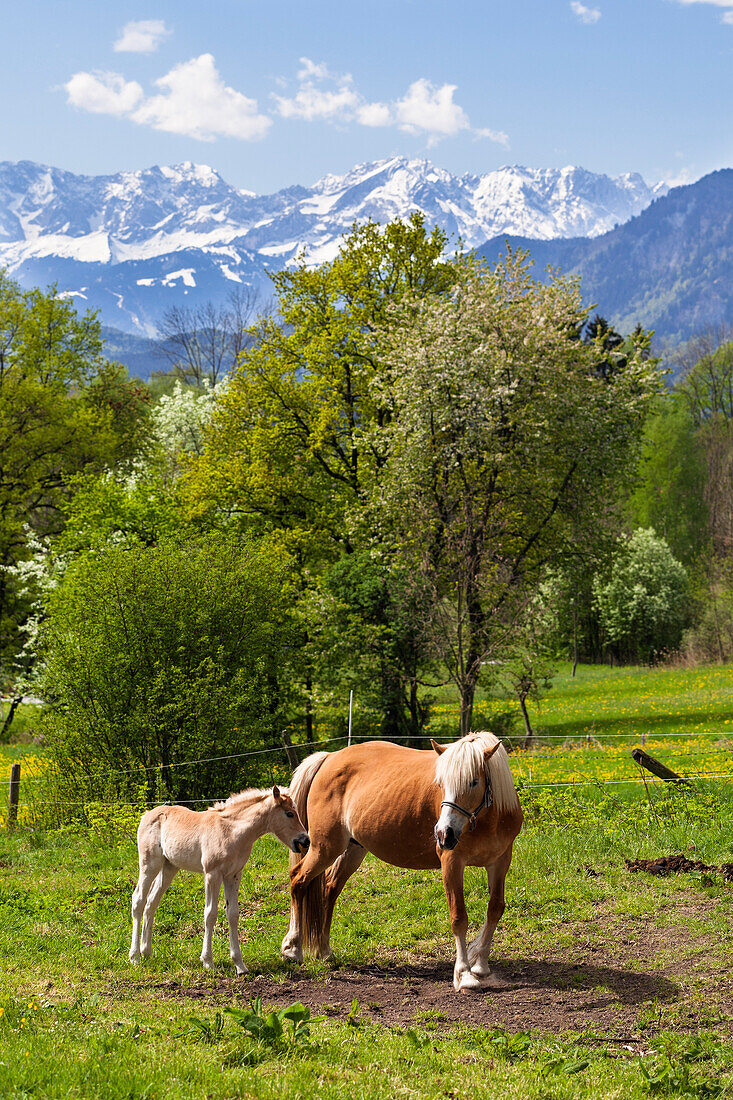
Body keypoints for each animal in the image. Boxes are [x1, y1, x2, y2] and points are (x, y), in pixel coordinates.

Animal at [129, 787, 305, 976]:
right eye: (289, 813)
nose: (305, 840)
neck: (231, 831)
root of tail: (146, 815)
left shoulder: (234, 875)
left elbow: (233, 913)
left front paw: (240, 965)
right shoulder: (212, 874)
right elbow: (210, 913)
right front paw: (207, 961)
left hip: (169, 867)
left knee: (151, 903)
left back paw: (146, 952)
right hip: (149, 865)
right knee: (138, 900)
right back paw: (134, 957)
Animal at [279, 734, 519, 994]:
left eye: (474, 781)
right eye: (440, 783)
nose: (443, 834)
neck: (486, 820)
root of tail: (329, 757)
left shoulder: (500, 862)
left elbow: (495, 909)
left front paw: (480, 964)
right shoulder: (452, 863)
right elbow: (458, 917)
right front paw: (464, 974)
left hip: (352, 850)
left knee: (330, 889)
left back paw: (324, 950)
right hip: (324, 848)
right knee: (299, 880)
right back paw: (292, 948)